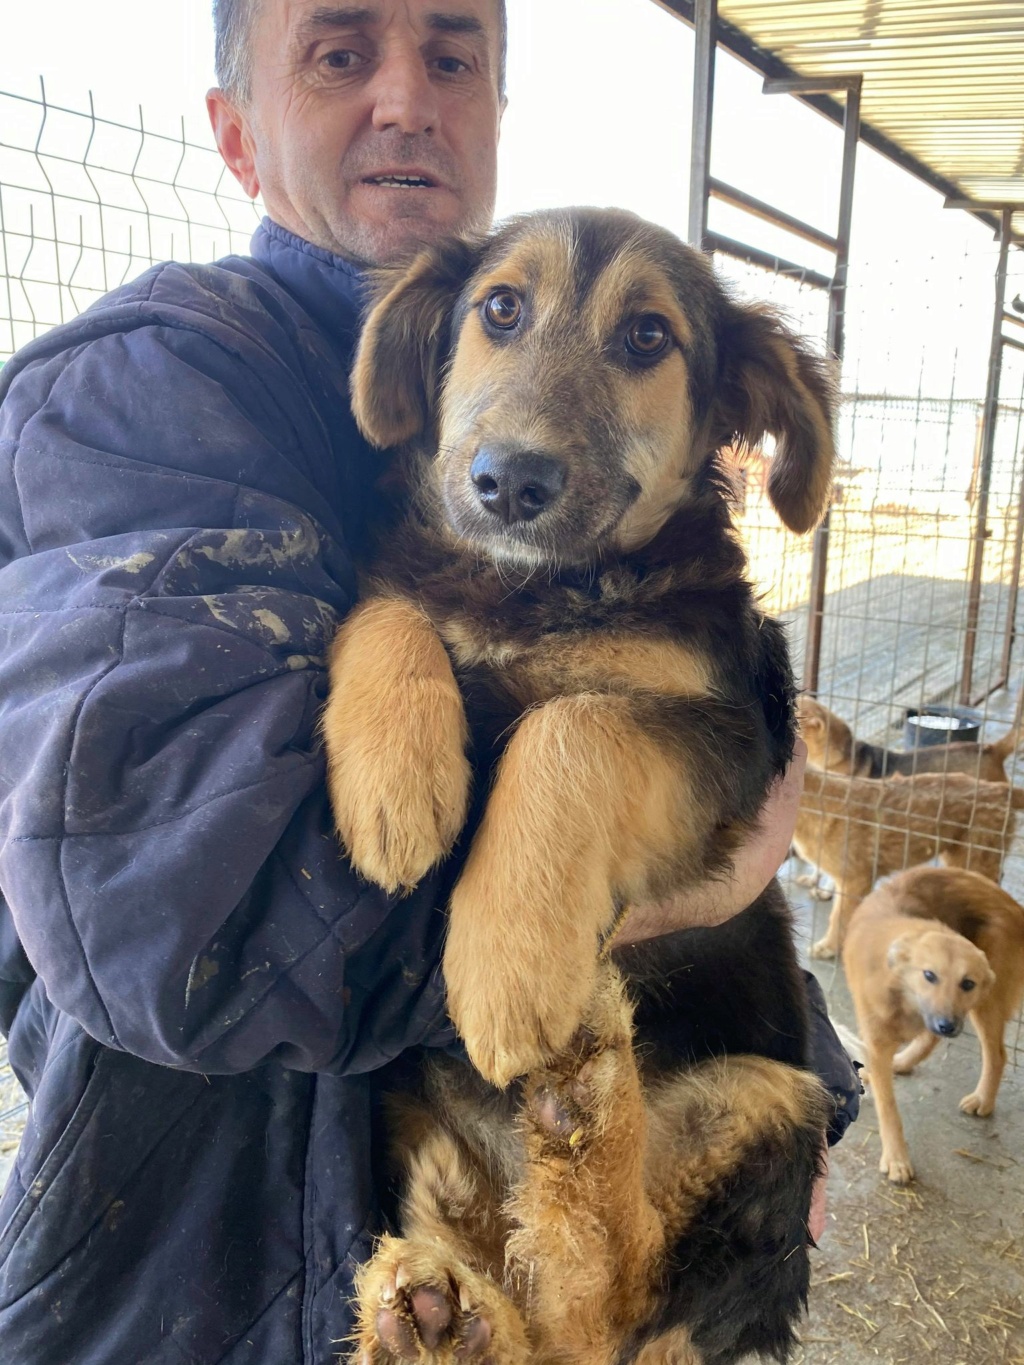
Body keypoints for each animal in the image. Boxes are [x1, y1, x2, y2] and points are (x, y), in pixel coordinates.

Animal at [791, 769, 1024, 960]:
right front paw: (823, 888)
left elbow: (838, 917)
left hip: (974, 860)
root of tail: (1000, 789)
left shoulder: (856, 879)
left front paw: (828, 947)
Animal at [841, 868, 1024, 1179]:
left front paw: (896, 1158)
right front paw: (897, 1157)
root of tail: (1013, 905)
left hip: (985, 1004)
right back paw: (903, 1061)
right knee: (931, 1039)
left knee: (997, 1054)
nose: (947, 1025)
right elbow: (888, 1105)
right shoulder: (878, 1040)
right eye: (929, 975)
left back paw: (983, 1100)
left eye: (967, 983)